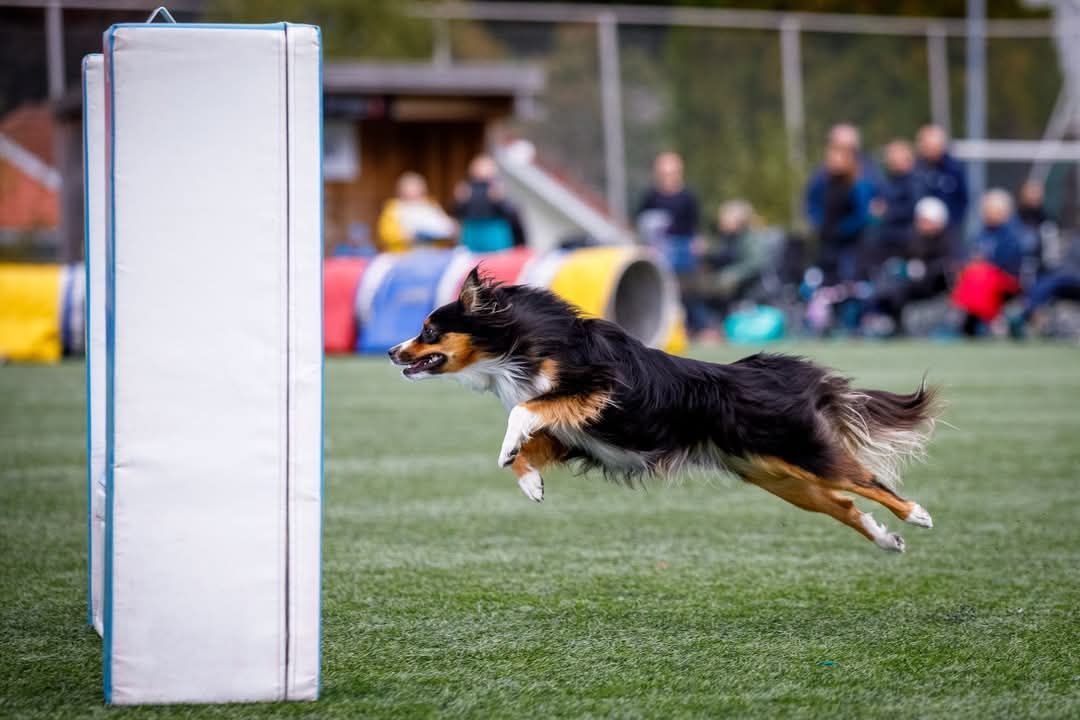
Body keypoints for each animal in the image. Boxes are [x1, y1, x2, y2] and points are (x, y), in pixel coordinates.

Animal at [388, 268, 937, 552]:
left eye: (429, 330)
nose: (392, 352)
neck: (521, 343)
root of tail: (772, 374)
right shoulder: (574, 434)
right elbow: (532, 440)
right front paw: (530, 484)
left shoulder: (596, 389)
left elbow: (521, 410)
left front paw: (508, 452)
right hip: (779, 477)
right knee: (843, 503)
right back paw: (886, 540)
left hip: (802, 453)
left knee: (867, 481)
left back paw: (918, 515)